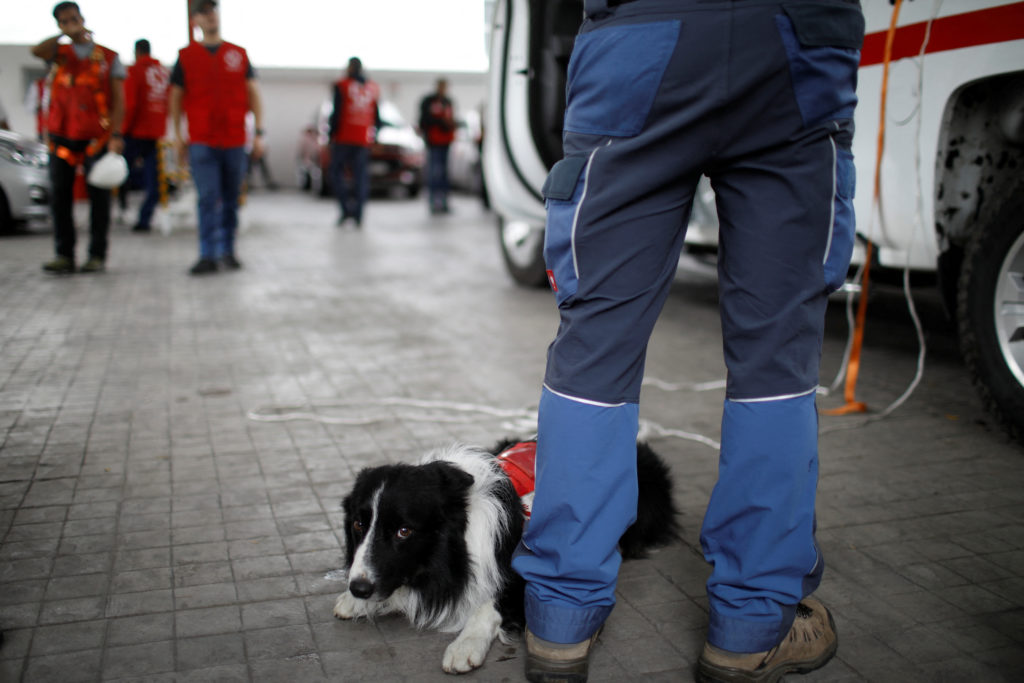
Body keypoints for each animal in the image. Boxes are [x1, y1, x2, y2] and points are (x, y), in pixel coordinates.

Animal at [331, 444, 675, 671]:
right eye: (358, 524)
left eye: (404, 531)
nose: (359, 588)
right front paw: (355, 601)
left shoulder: (534, 571)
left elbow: (490, 604)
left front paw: (465, 644)